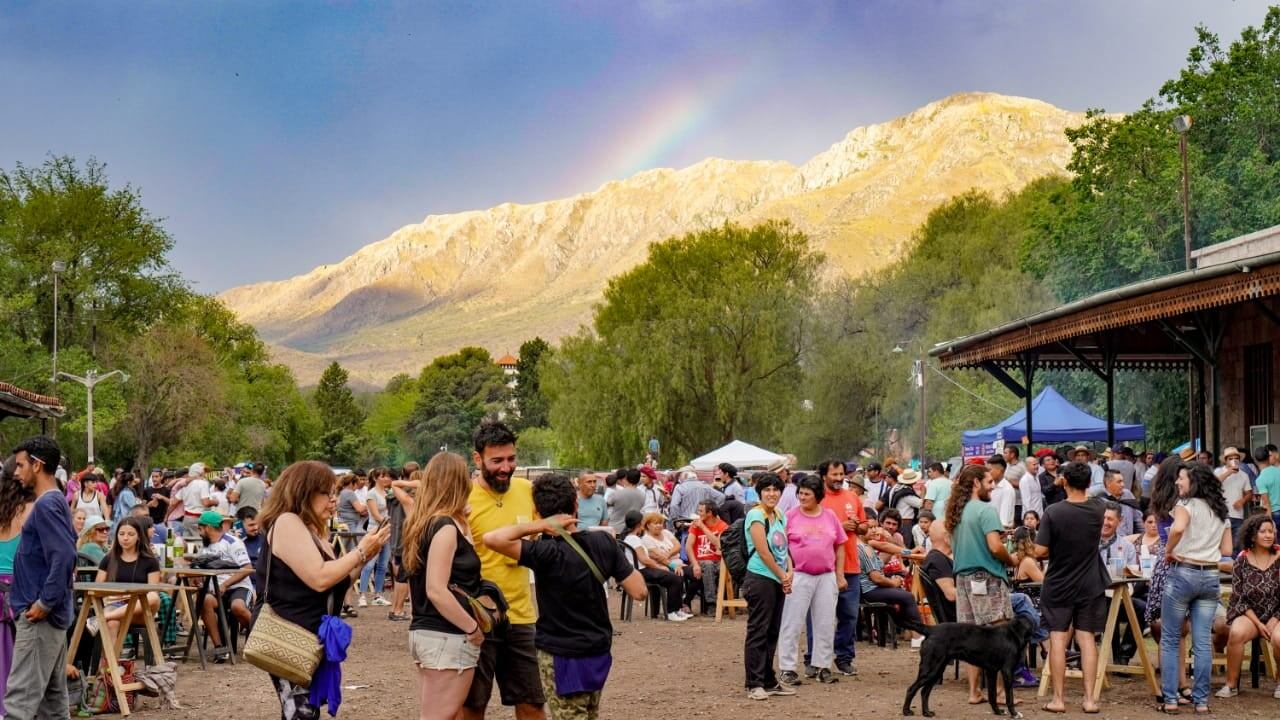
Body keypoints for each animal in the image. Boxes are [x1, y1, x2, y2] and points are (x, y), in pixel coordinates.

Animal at [906, 609, 1034, 717]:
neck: (1013, 634)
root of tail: (931, 629)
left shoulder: (991, 671)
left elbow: (992, 695)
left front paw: (997, 712)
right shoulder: (1007, 671)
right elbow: (1009, 697)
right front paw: (1014, 714)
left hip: (937, 670)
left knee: (924, 692)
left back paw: (926, 713)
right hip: (930, 669)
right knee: (912, 689)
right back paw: (906, 711)